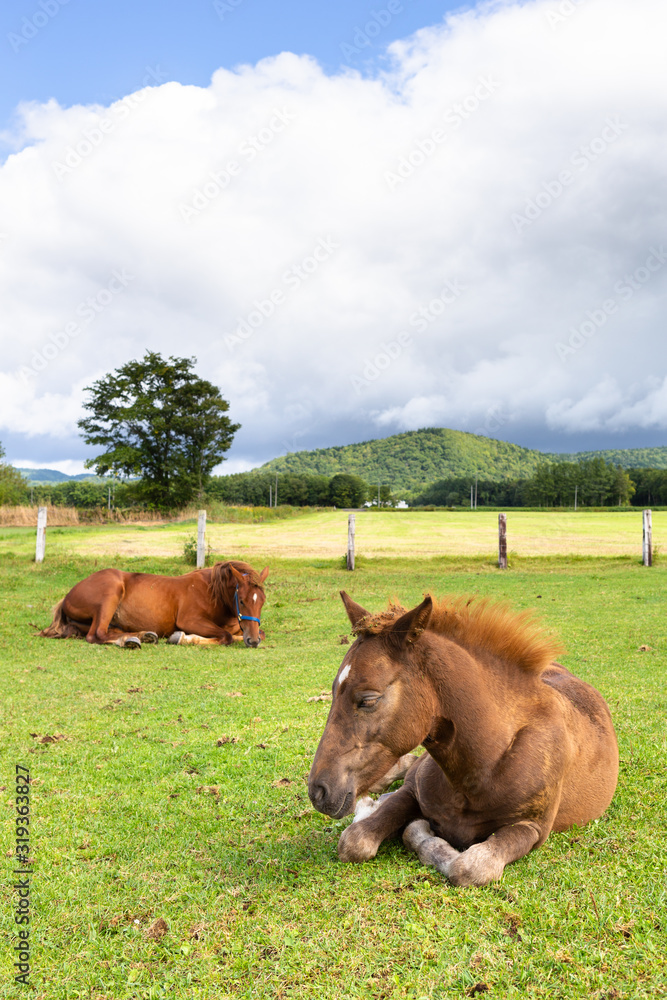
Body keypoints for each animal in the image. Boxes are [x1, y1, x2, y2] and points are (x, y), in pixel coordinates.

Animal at [40, 561, 269, 649]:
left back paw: (142, 636)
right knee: (97, 635)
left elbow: (257, 633)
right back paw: (131, 640)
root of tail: (66, 598)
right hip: (110, 594)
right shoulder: (190, 620)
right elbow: (225, 636)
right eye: (241, 601)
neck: (212, 592)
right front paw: (182, 638)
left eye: (262, 601)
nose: (252, 641)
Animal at [308, 591, 618, 887]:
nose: (318, 792)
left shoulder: (532, 828)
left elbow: (468, 867)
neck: (489, 763)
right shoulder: (412, 790)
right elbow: (355, 841)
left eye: (368, 700)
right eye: (333, 691)